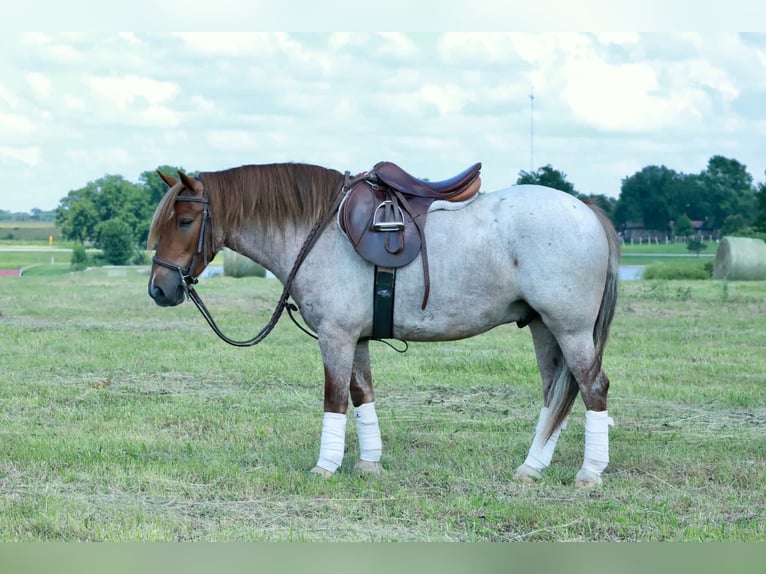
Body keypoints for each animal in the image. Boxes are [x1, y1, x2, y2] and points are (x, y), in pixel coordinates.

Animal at [147, 162, 620, 488]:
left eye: (184, 221)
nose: (159, 289)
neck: (320, 231)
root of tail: (586, 209)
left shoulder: (335, 337)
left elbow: (335, 398)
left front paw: (325, 466)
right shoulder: (355, 339)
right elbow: (362, 395)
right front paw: (368, 462)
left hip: (570, 329)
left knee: (592, 388)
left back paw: (590, 471)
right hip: (543, 327)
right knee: (556, 393)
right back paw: (532, 466)